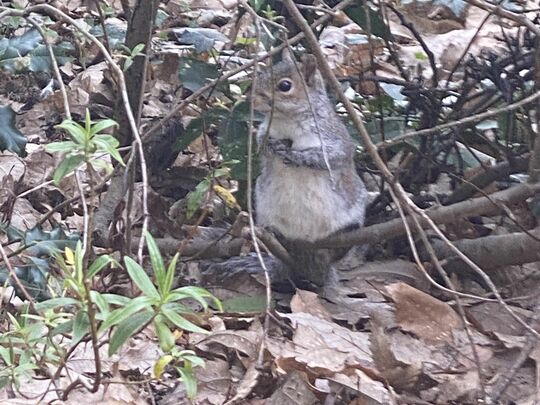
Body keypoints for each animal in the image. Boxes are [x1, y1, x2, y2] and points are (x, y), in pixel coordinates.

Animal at [255, 49, 370, 286]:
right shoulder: (264, 130)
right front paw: (272, 146)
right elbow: (260, 142)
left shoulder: (334, 139)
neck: (286, 121)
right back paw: (275, 233)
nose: (252, 99)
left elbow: (332, 157)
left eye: (285, 86)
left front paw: (298, 156)